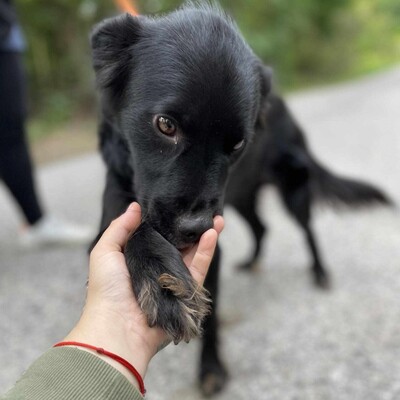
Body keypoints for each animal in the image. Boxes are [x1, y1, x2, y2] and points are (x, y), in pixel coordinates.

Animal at [91, 4, 272, 396]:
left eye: (237, 144)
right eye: (165, 125)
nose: (195, 228)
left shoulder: (214, 250)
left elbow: (213, 316)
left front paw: (211, 367)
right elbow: (133, 225)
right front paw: (162, 280)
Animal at [225, 93, 390, 288]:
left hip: (294, 194)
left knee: (308, 232)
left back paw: (319, 272)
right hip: (241, 197)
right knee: (261, 228)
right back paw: (251, 263)